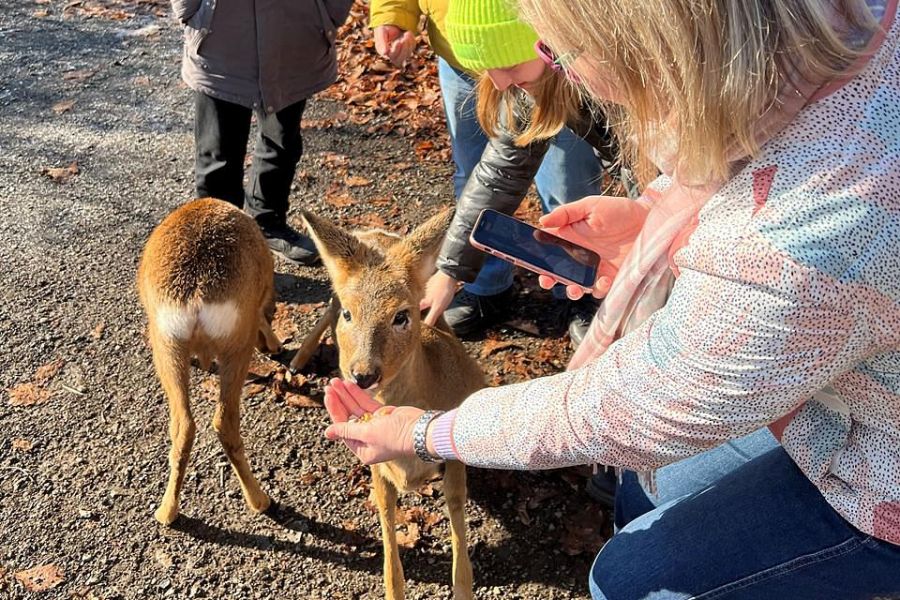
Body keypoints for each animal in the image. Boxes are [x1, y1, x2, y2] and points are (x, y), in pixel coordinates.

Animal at [137, 198, 282, 524]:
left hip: (167, 347)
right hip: (236, 345)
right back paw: (261, 501)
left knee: (183, 425)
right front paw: (275, 344)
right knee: (224, 421)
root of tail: (196, 294)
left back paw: (166, 512)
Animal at [302, 210, 486, 600]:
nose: (362, 374)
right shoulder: (376, 460)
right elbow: (386, 523)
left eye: (402, 315)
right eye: (349, 315)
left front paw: (463, 586)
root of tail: (377, 234)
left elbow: (456, 505)